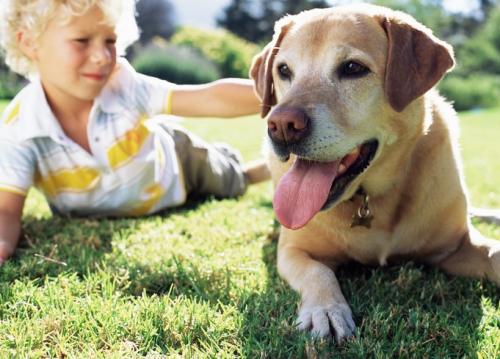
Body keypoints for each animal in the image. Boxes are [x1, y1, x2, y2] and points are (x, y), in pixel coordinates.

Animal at [250, 3, 500, 346]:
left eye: (353, 68)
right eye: (284, 70)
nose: (281, 125)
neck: (371, 198)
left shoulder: (457, 246)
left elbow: (494, 253)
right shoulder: (293, 250)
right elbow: (318, 272)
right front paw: (326, 311)